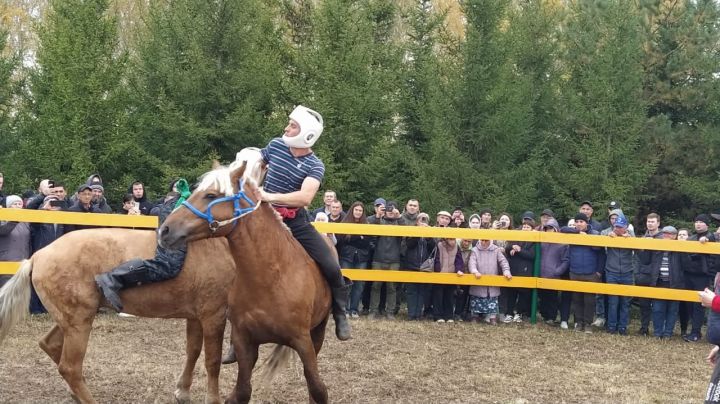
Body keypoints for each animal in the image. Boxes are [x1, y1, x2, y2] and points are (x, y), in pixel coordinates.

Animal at [159, 161, 334, 404]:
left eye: (211, 194)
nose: (165, 230)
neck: (271, 277)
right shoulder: (244, 340)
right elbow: (241, 392)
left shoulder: (304, 341)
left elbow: (317, 388)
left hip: (318, 332)